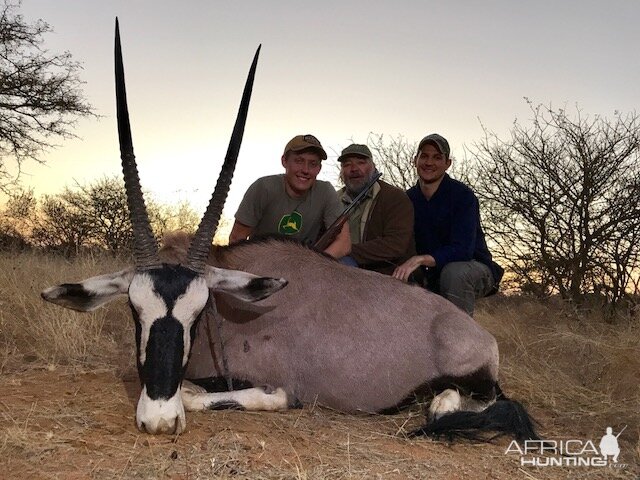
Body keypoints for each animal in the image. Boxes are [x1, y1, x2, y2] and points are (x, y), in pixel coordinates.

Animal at [41, 19, 540, 442]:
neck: (231, 310)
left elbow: (212, 394)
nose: (158, 421)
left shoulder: (281, 387)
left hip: (474, 378)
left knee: (457, 402)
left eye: (198, 313)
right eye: (134, 309)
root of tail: (478, 334)